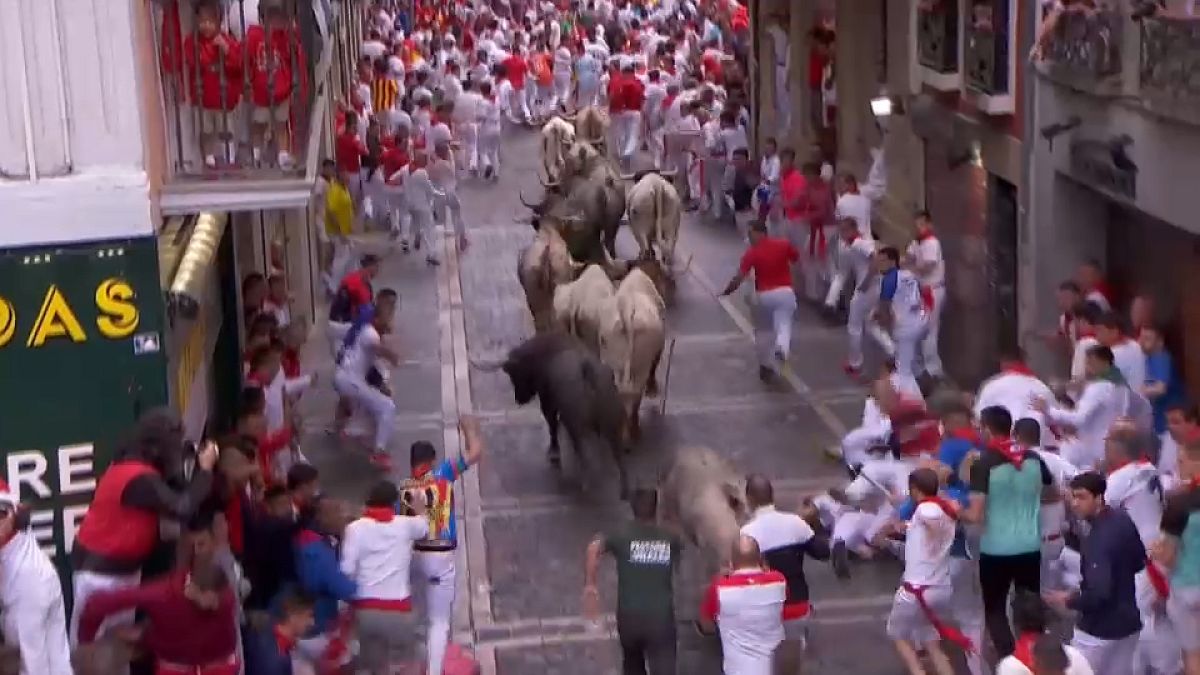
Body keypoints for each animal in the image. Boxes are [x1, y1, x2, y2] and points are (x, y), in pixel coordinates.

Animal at [472, 331, 633, 497]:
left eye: (514, 374)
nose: (519, 399)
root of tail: (587, 371)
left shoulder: (548, 403)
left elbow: (552, 426)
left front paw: (554, 452)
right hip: (612, 423)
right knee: (618, 456)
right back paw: (623, 489)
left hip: (578, 425)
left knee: (584, 451)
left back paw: (585, 483)